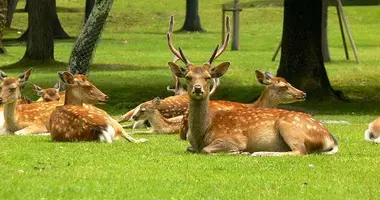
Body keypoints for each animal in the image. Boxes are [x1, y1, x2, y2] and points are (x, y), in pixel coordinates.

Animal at [167, 15, 338, 156]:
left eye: (208, 77)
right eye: (188, 77)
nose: (198, 88)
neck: (201, 135)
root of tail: (331, 138)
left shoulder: (236, 138)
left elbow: (207, 150)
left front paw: (238, 152)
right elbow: (190, 148)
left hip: (289, 127)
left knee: (300, 151)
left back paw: (258, 153)